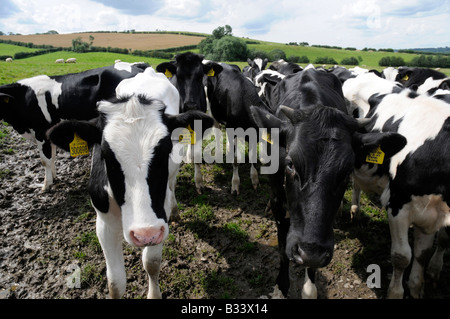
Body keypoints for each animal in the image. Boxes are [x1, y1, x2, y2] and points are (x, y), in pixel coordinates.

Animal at [0, 62, 151, 192]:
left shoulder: (41, 133)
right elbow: (52, 157)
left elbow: (45, 160)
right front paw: (54, 178)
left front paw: (46, 185)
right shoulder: (49, 134)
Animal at [46, 68, 214, 300]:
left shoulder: (159, 220)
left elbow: (151, 263)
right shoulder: (104, 224)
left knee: (171, 187)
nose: (145, 234)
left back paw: (175, 208)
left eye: (165, 149)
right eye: (106, 154)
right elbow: (115, 282)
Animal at [205, 62, 274, 195]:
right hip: (213, 112)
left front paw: (254, 179)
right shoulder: (232, 129)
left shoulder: (253, 134)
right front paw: (235, 184)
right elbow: (235, 159)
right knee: (217, 132)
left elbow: (252, 155)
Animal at [248, 68, 406, 300]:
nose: (310, 253)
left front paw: (309, 289)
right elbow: (281, 244)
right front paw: (281, 287)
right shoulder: (278, 198)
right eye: (290, 164)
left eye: (347, 171)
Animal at [352, 90, 450, 300]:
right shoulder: (398, 204)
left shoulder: (431, 212)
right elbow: (402, 256)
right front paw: (396, 293)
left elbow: (423, 253)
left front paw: (416, 288)